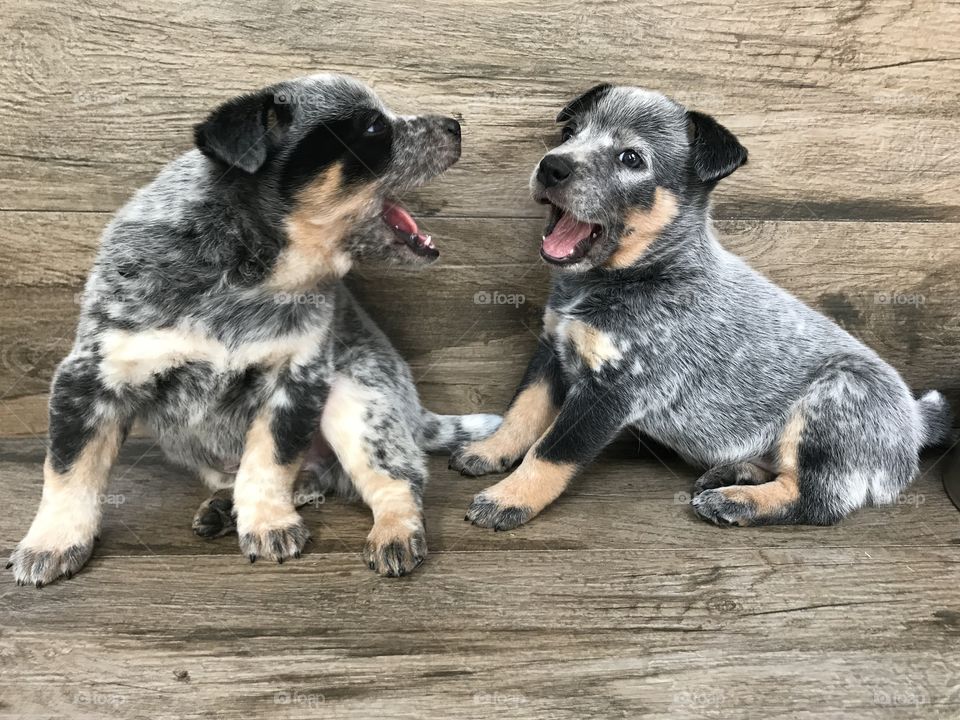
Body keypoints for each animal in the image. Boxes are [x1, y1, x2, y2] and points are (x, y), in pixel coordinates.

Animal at [7, 74, 502, 592]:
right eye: (372, 127)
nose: (455, 125)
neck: (247, 271)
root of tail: (415, 413)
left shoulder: (296, 378)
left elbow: (269, 460)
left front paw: (268, 523)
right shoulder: (92, 376)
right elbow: (70, 470)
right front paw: (51, 543)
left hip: (357, 402)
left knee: (396, 480)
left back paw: (393, 534)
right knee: (291, 478)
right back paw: (225, 508)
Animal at [452, 84, 952, 532]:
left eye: (631, 158)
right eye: (571, 132)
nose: (551, 165)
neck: (635, 275)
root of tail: (916, 422)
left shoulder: (615, 388)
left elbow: (553, 449)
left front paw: (508, 499)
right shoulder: (552, 351)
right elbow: (523, 411)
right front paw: (490, 450)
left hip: (835, 402)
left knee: (818, 499)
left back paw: (735, 501)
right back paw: (736, 471)